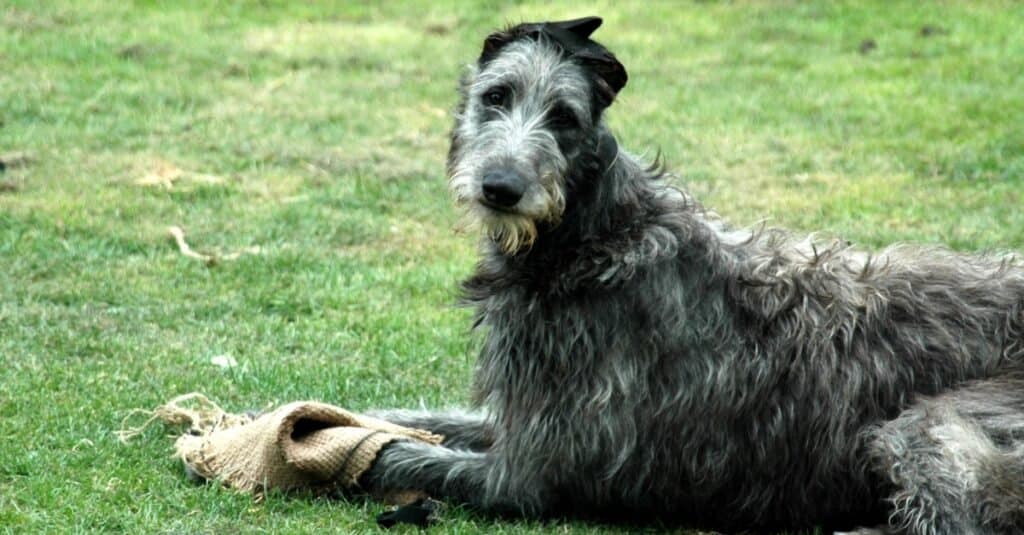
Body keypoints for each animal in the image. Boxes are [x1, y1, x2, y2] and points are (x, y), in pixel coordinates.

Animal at [360, 16, 1024, 532]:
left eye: (564, 117)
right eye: (496, 95)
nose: (501, 188)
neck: (596, 238)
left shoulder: (525, 474)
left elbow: (399, 458)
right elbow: (414, 422)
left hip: (929, 426)